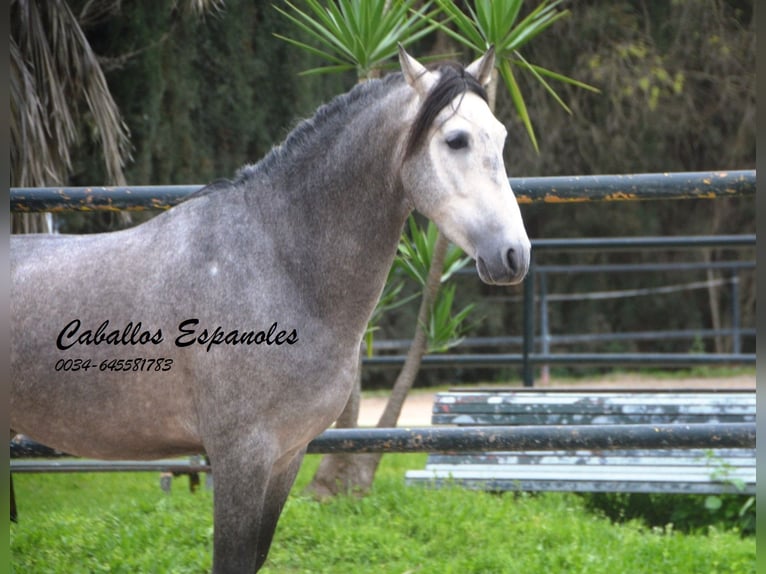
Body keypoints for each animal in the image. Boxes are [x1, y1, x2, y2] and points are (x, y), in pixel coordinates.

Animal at [12, 48, 532, 572]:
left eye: (501, 136)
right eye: (456, 139)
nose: (514, 255)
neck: (278, 262)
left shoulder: (287, 455)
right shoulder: (240, 457)